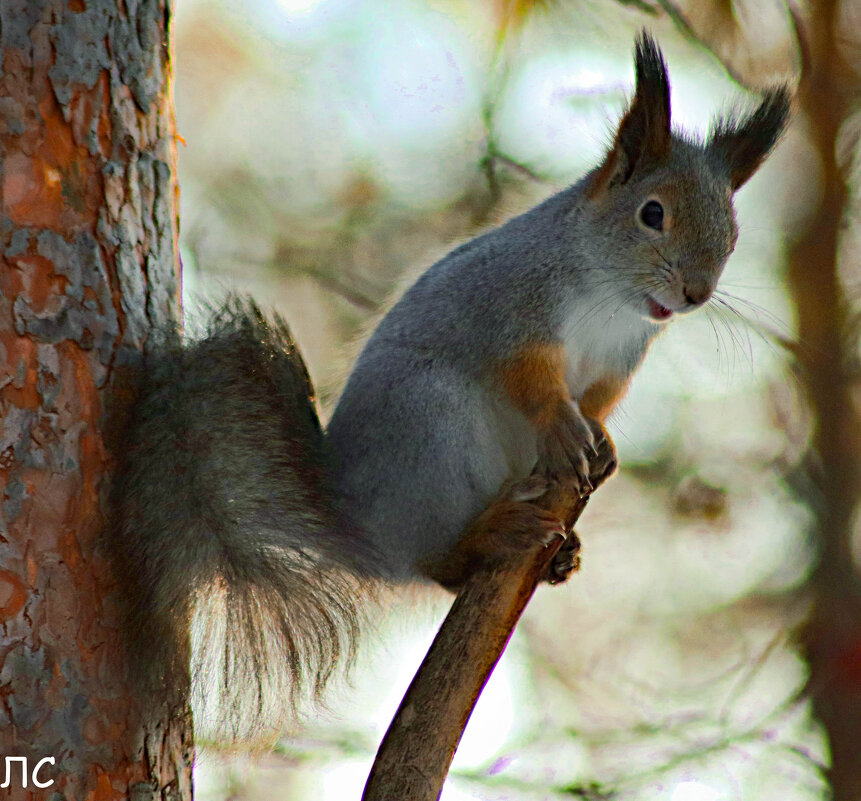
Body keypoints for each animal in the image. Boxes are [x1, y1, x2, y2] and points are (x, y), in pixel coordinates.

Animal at [111, 36, 788, 736]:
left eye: (733, 233)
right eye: (653, 213)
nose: (696, 293)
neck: (611, 298)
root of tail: (358, 530)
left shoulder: (619, 361)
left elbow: (600, 401)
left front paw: (602, 441)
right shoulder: (511, 312)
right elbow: (532, 383)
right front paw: (564, 427)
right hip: (433, 426)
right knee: (437, 563)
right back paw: (492, 534)